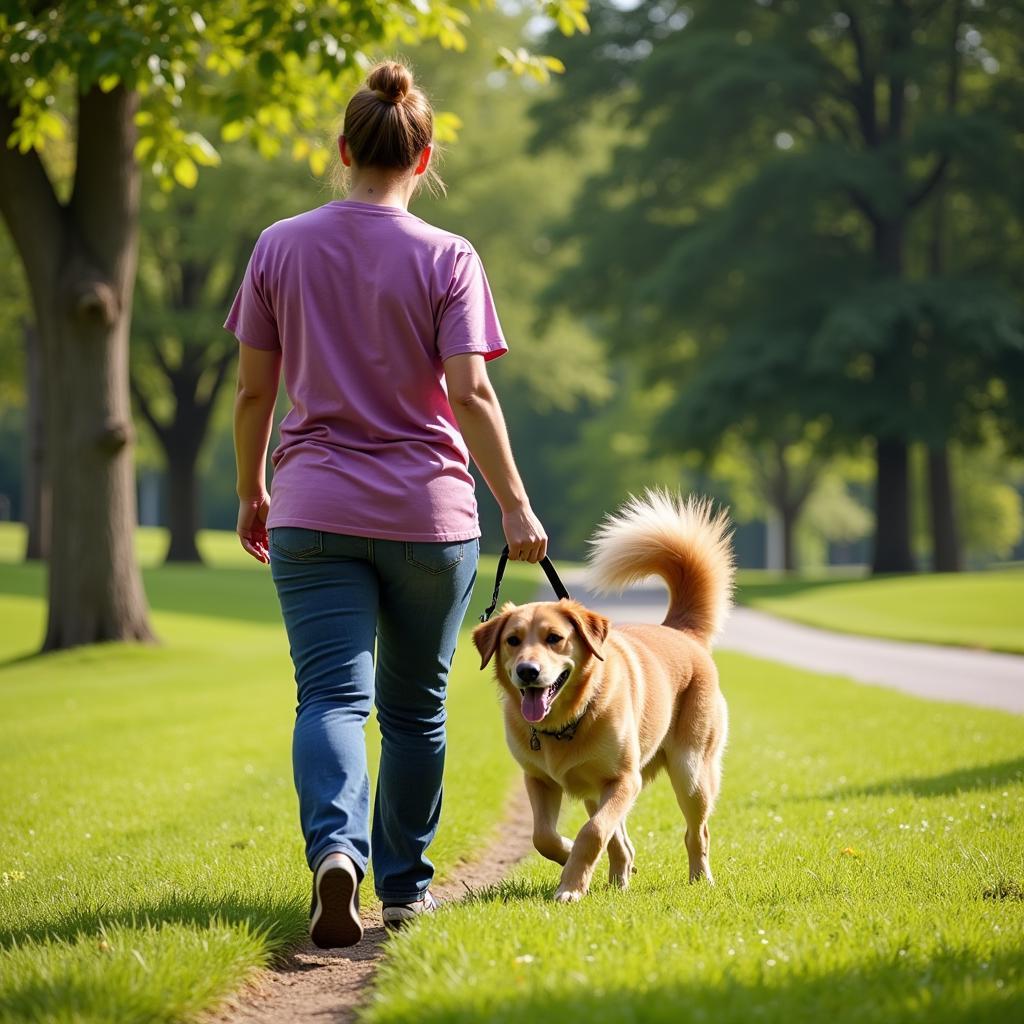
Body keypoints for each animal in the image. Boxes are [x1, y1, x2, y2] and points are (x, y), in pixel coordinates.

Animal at [475, 491, 733, 901]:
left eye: (554, 638)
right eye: (512, 641)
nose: (527, 671)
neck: (567, 720)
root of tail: (681, 632)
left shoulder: (625, 780)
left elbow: (594, 832)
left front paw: (571, 886)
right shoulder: (540, 780)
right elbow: (544, 836)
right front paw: (568, 860)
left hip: (691, 772)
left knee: (697, 833)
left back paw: (699, 879)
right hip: (598, 790)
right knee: (621, 842)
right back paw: (618, 879)